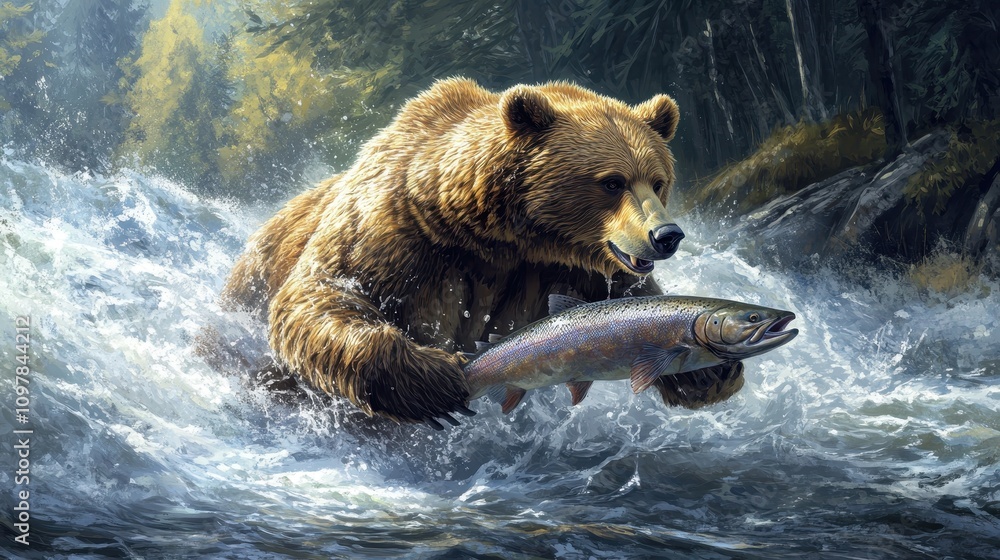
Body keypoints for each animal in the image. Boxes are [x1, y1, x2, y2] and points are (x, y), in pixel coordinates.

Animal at [219, 78, 745, 426]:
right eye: (611, 182)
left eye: (657, 180)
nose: (667, 235)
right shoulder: (398, 229)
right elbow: (323, 293)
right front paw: (432, 379)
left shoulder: (574, 269)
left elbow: (634, 303)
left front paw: (711, 372)